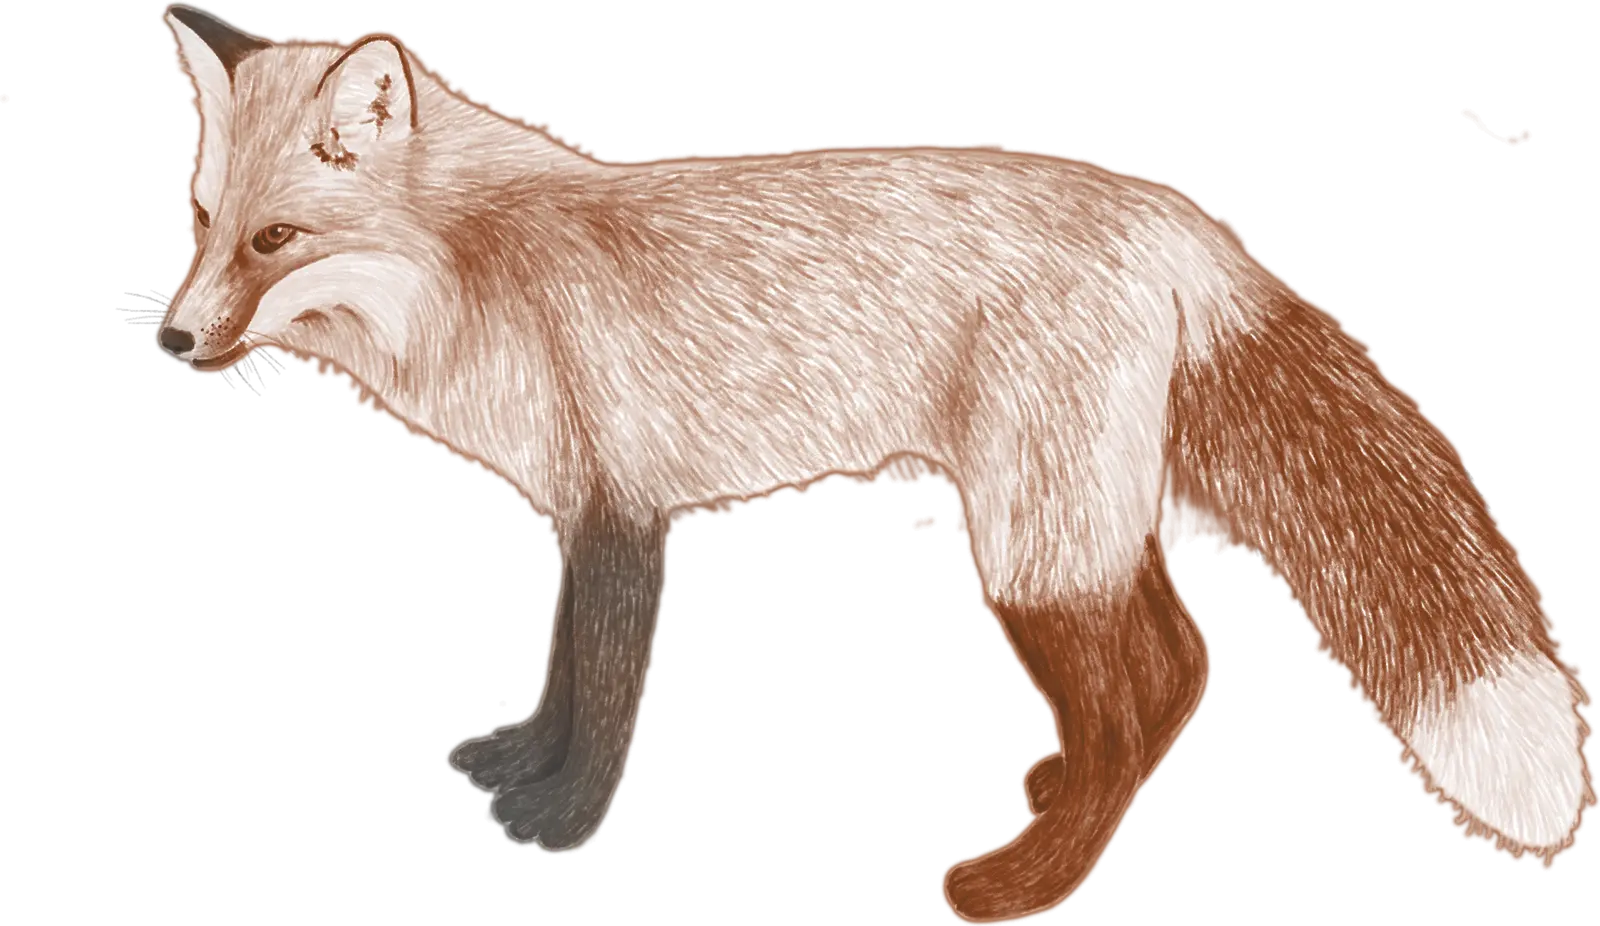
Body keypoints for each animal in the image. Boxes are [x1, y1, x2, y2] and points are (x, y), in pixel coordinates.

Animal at [155, 5, 1592, 923]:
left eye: (277, 239)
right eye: (204, 223)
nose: (171, 337)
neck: (476, 268)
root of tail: (1178, 212)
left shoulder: (622, 508)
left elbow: (601, 693)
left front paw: (558, 826)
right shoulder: (585, 513)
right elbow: (559, 686)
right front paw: (516, 772)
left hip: (1024, 548)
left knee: (1151, 687)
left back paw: (1028, 883)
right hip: (1068, 525)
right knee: (1179, 668)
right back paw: (1055, 800)